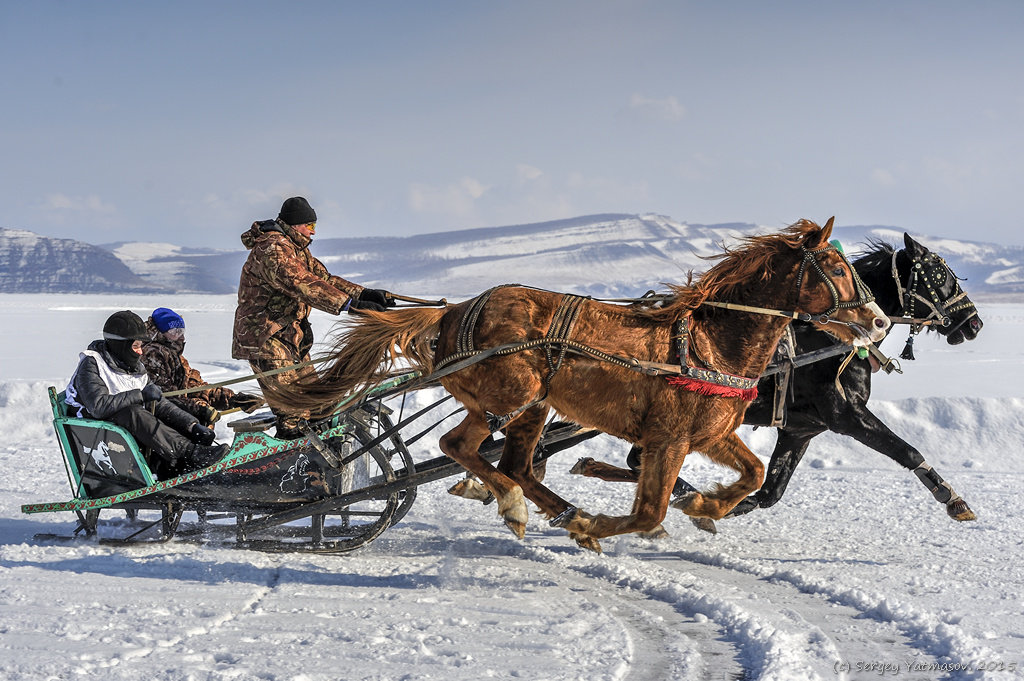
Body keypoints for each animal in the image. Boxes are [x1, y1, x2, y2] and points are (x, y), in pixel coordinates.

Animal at [278, 220, 888, 548]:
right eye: (836, 268)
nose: (880, 320)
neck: (711, 342)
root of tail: (453, 312)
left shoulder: (710, 434)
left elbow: (754, 473)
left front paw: (705, 506)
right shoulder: (668, 439)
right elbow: (649, 512)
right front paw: (610, 521)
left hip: (520, 406)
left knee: (502, 459)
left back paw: (550, 509)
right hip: (516, 395)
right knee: (472, 452)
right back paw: (524, 508)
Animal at [577, 233, 983, 524]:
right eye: (940, 276)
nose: (975, 323)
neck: (828, 343)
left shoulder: (801, 429)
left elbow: (770, 492)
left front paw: (719, 505)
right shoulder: (846, 416)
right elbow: (907, 450)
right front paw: (953, 499)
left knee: (634, 459)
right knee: (635, 457)